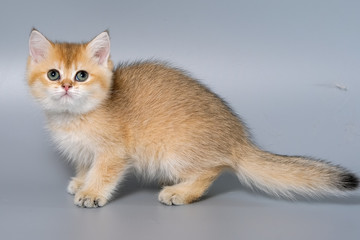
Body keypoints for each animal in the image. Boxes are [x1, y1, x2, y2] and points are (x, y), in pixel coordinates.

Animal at [26, 29, 358, 207]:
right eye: (53, 74)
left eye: (81, 75)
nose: (66, 86)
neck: (73, 118)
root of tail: (240, 140)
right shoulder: (85, 152)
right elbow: (86, 166)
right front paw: (81, 182)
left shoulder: (113, 153)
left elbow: (103, 173)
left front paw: (92, 192)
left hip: (173, 152)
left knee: (214, 169)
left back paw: (181, 192)